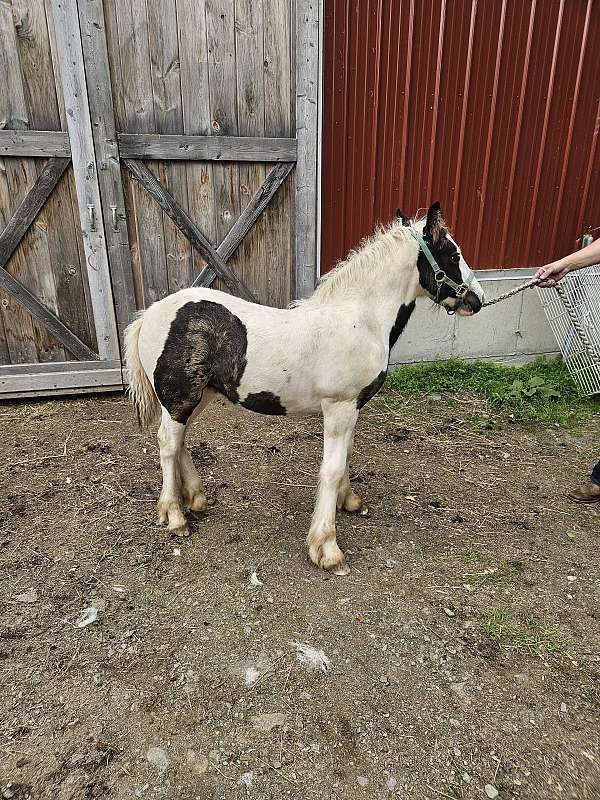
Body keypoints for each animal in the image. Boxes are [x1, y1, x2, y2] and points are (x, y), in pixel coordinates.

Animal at [125, 202, 485, 576]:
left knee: (180, 441)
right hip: (180, 398)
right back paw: (175, 515)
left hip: (198, 397)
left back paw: (196, 497)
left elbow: (346, 456)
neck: (359, 320)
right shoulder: (339, 407)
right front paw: (327, 548)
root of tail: (149, 314)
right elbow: (331, 469)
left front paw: (350, 501)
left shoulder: (352, 407)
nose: (478, 299)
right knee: (168, 443)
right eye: (453, 254)